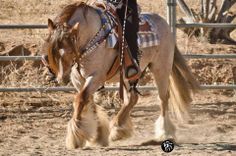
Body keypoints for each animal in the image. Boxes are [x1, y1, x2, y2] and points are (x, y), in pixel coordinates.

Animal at [42, 1, 199, 149]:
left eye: (69, 50)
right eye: (52, 51)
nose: (62, 78)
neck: (92, 37)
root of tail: (164, 23)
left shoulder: (96, 77)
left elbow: (80, 99)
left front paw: (76, 138)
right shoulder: (79, 80)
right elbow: (88, 102)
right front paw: (98, 135)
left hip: (161, 68)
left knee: (163, 98)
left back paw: (164, 132)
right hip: (128, 75)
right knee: (132, 98)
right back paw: (118, 129)